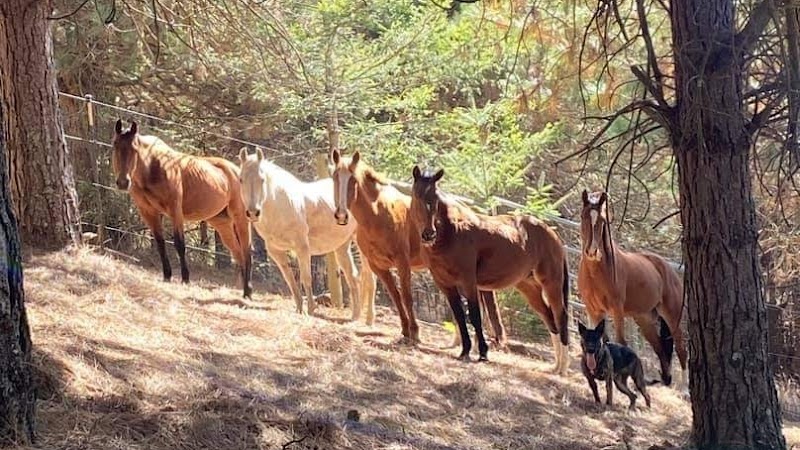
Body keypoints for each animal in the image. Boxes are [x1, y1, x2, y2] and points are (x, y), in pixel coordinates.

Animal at [111, 120, 252, 298]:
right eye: (115, 145)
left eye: (134, 149)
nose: (123, 182)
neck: (152, 168)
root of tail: (236, 170)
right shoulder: (148, 212)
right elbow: (160, 243)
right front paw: (167, 275)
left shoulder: (175, 210)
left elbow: (179, 243)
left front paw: (185, 278)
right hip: (222, 223)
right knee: (238, 253)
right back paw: (244, 288)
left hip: (240, 217)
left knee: (246, 251)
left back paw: (247, 291)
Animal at [237, 147, 376, 321]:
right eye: (241, 180)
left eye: (262, 180)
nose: (253, 213)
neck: (280, 206)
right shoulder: (276, 251)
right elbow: (290, 279)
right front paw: (299, 308)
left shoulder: (302, 247)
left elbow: (306, 277)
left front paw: (311, 309)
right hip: (342, 247)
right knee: (353, 277)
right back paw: (355, 316)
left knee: (370, 279)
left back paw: (369, 320)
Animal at [330, 150, 506, 347]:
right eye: (335, 177)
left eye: (352, 180)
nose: (341, 215)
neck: (378, 215)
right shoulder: (378, 266)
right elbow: (396, 296)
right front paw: (405, 331)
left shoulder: (402, 262)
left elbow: (407, 296)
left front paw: (415, 333)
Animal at [409, 166, 571, 373]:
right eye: (417, 195)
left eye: (435, 198)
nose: (428, 234)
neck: (452, 232)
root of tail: (554, 237)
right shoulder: (445, 285)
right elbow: (460, 316)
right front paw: (465, 351)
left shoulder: (469, 282)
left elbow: (475, 316)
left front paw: (483, 353)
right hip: (529, 287)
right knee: (549, 318)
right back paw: (554, 367)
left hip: (551, 283)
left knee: (560, 317)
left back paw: (562, 368)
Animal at [577, 189, 687, 386]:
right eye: (584, 217)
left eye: (602, 221)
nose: (592, 251)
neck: (597, 271)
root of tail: (668, 269)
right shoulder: (593, 310)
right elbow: (598, 339)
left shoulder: (617, 310)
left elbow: (620, 342)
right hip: (644, 319)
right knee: (660, 349)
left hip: (672, 316)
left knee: (681, 349)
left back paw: (683, 388)